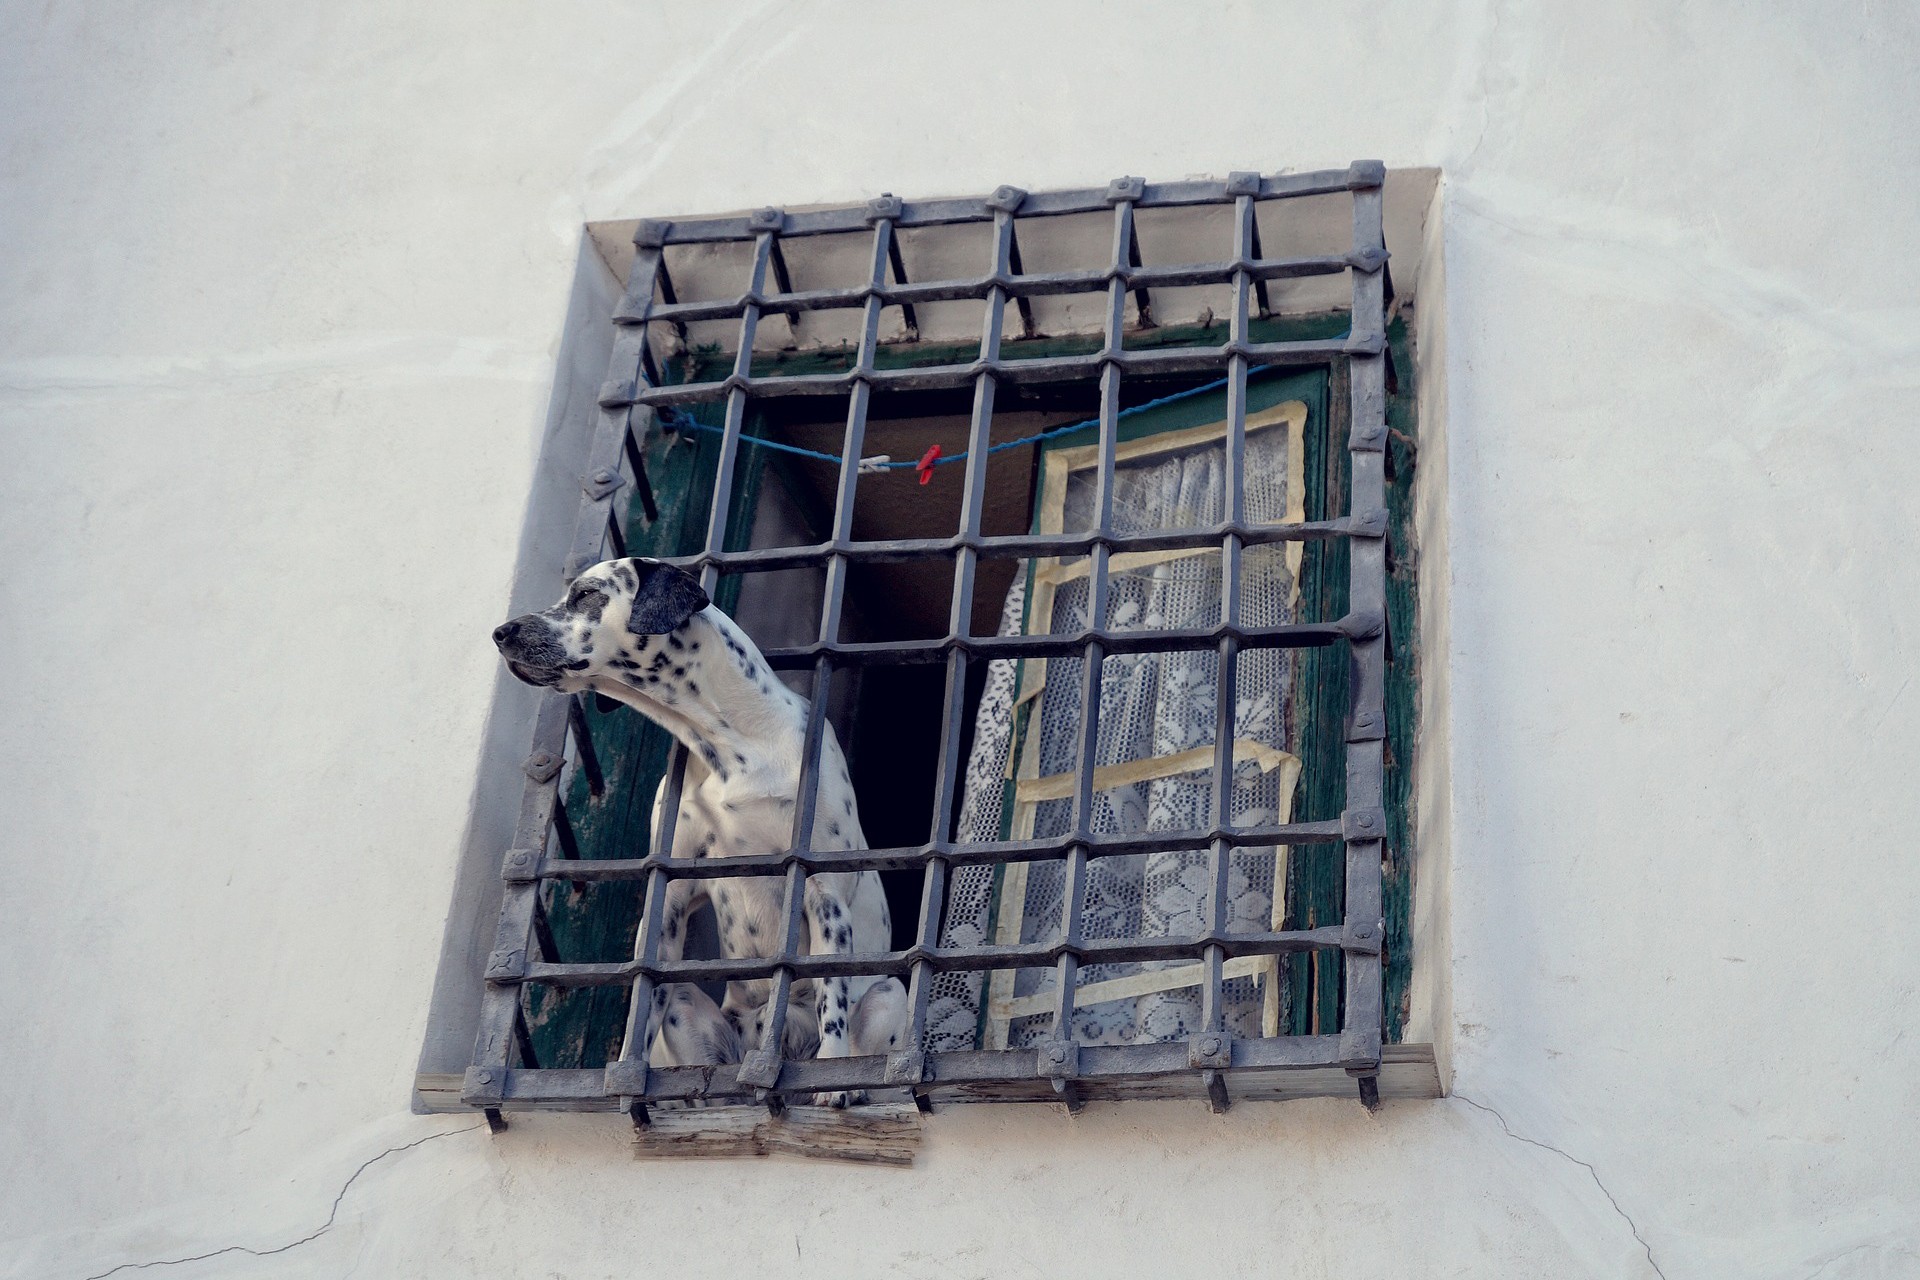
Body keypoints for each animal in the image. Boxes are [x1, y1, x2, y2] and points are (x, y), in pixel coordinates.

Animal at [499, 556, 910, 1105]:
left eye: (586, 594)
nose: (501, 632)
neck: (731, 747)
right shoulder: (668, 903)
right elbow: (642, 1006)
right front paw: (626, 1076)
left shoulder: (824, 893)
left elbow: (833, 1002)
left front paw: (834, 1079)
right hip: (690, 1004)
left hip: (890, 992)